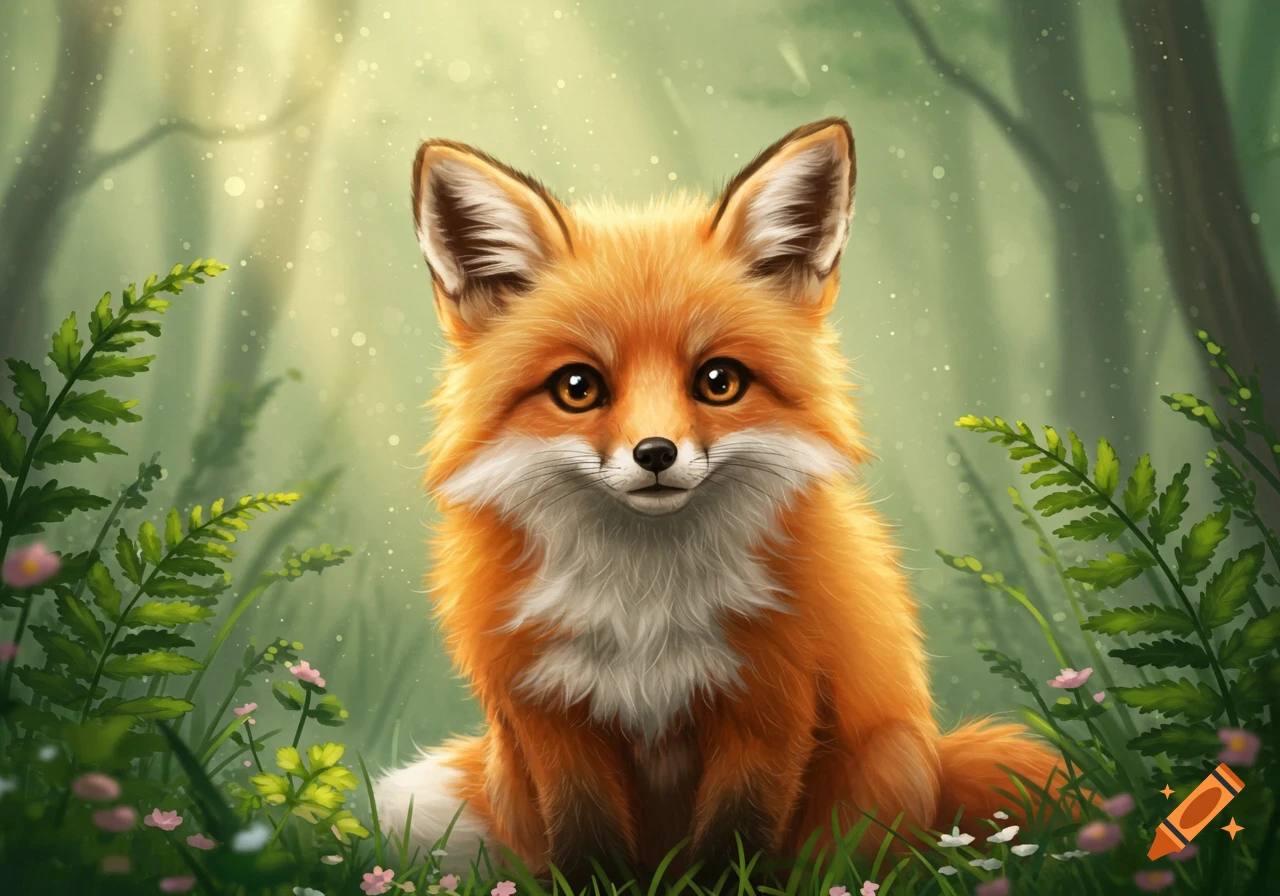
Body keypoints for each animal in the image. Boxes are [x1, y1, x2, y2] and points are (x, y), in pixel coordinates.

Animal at [373, 118, 1064, 883]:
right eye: (578, 388)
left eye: (718, 381)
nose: (655, 454)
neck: (642, 599)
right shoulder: (551, 715)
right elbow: (586, 846)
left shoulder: (769, 704)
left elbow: (733, 845)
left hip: (889, 764)